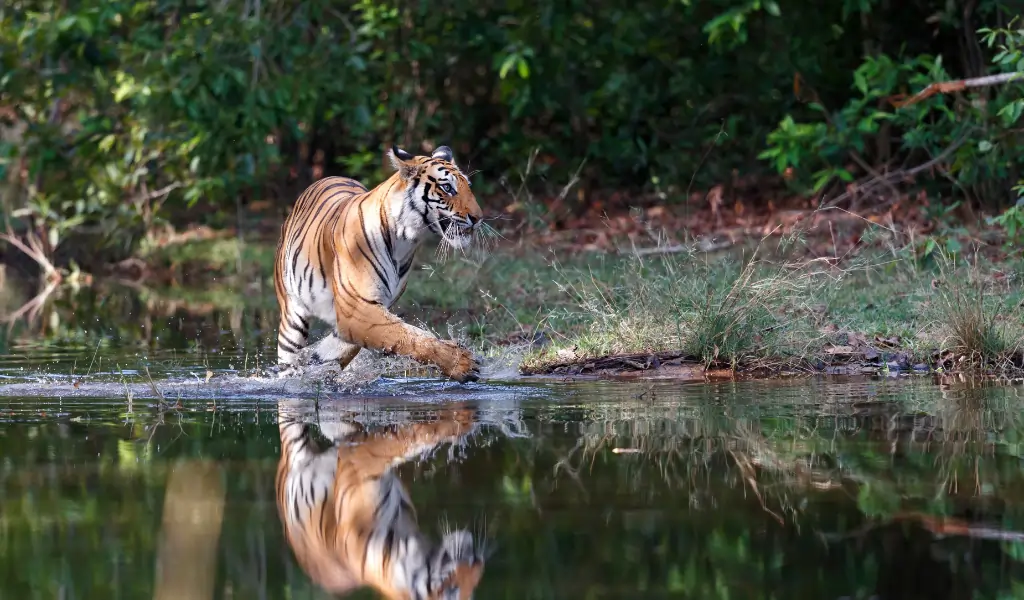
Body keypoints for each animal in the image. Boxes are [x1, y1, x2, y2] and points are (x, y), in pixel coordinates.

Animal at [273, 144, 483, 383]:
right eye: (447, 187)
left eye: (468, 187)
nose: (479, 218)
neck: (406, 239)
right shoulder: (357, 310)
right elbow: (410, 336)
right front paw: (462, 363)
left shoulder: (366, 310)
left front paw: (320, 362)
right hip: (291, 315)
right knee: (288, 355)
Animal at [275, 399, 487, 600]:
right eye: (452, 589)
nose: (478, 561)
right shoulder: (360, 460)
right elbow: (403, 439)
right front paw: (459, 419)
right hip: (293, 432)